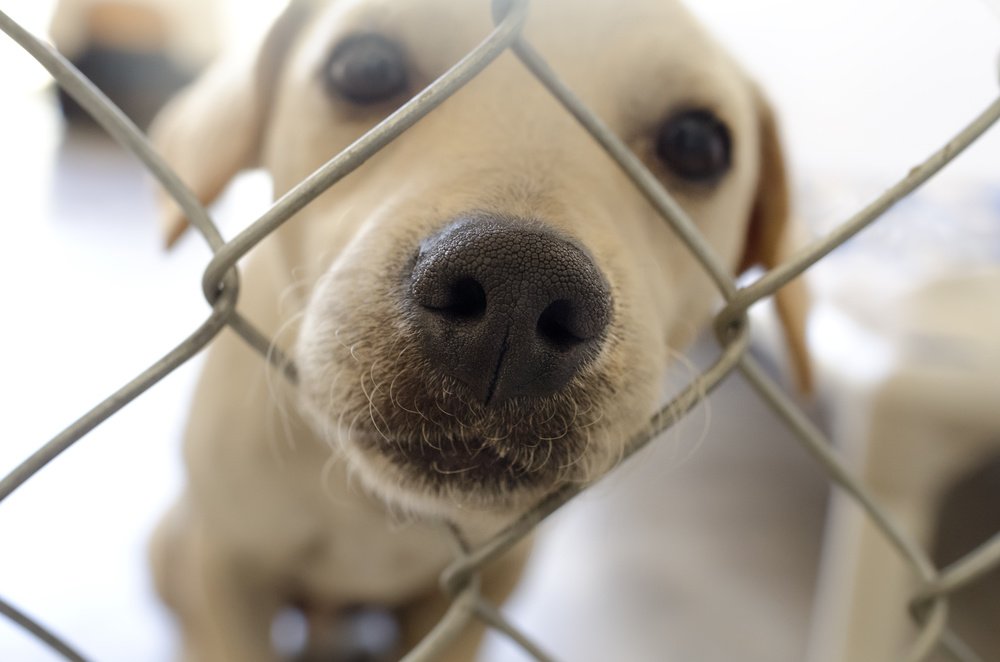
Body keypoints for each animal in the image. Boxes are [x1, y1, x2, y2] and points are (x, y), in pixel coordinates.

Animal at [148, 0, 808, 660]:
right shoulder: (227, 566)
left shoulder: (483, 589)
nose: (519, 288)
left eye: (695, 142)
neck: (374, 507)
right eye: (365, 67)